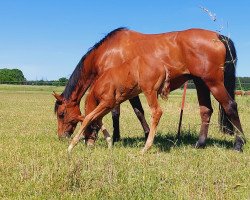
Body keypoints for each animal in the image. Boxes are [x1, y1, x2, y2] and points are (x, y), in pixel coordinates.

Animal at [53, 27, 246, 152]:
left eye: (61, 114)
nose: (61, 137)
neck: (108, 51)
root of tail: (218, 36)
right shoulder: (130, 91)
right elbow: (139, 112)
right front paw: (146, 135)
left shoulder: (118, 91)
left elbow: (117, 114)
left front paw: (117, 137)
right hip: (201, 83)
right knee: (206, 111)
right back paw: (200, 144)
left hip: (213, 82)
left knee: (230, 106)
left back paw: (238, 144)